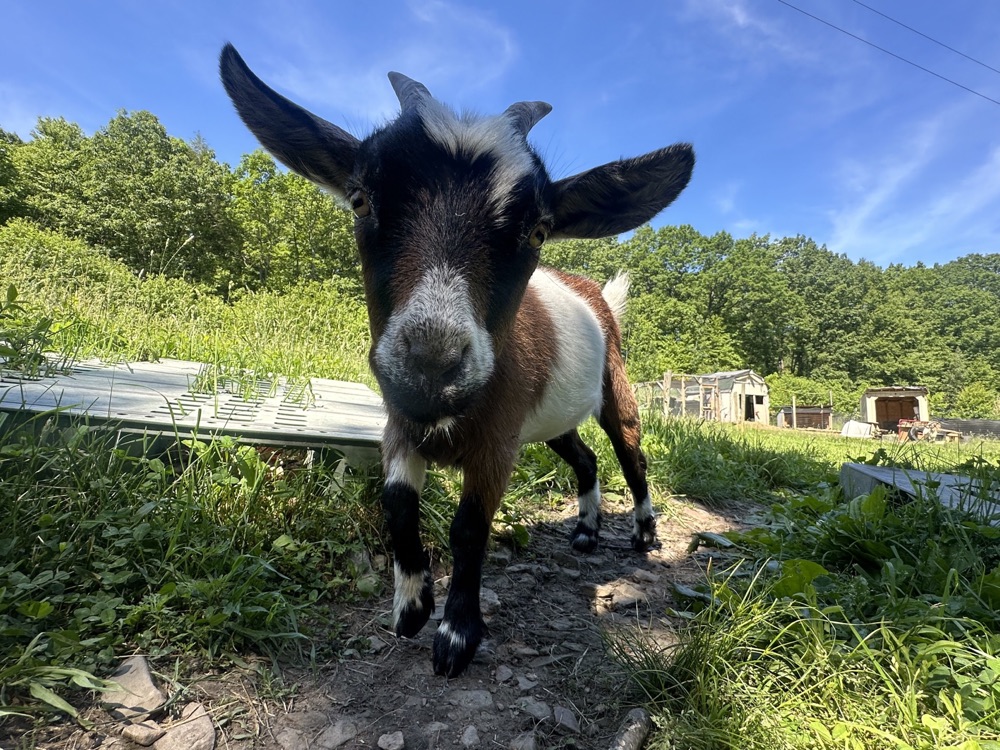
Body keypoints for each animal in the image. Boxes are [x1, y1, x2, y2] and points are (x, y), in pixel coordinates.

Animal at [219, 44, 694, 677]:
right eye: (360, 198)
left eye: (538, 228)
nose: (431, 364)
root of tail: (597, 296)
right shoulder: (401, 423)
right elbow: (396, 502)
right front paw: (410, 607)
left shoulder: (497, 440)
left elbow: (470, 528)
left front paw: (457, 636)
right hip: (550, 419)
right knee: (586, 457)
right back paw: (586, 532)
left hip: (616, 388)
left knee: (631, 454)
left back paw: (643, 535)